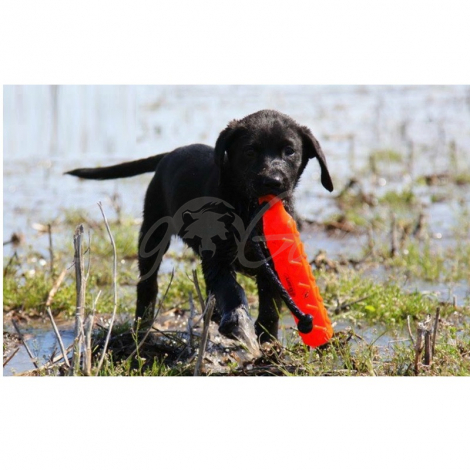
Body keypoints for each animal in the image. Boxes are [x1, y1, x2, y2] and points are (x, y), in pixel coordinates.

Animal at [67, 109, 334, 342]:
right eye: (249, 151)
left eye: (289, 151)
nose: (273, 181)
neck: (246, 209)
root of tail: (170, 153)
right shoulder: (218, 258)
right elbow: (231, 289)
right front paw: (237, 321)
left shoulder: (271, 262)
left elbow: (270, 306)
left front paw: (267, 340)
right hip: (153, 233)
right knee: (147, 283)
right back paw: (142, 327)